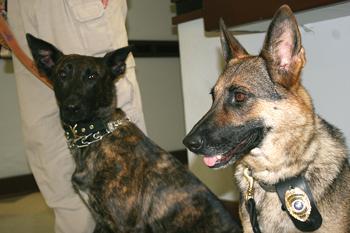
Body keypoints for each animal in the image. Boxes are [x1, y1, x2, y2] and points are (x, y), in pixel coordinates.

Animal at [26, 33, 242, 232]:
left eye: (92, 76)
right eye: (62, 74)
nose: (72, 107)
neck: (97, 135)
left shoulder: (125, 224)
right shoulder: (101, 222)